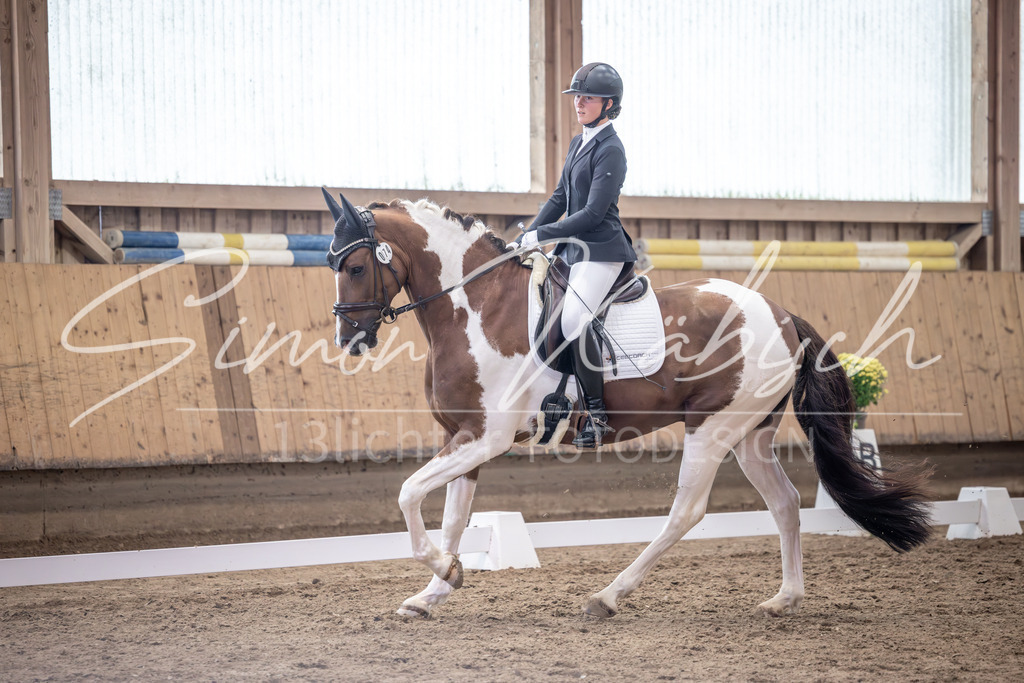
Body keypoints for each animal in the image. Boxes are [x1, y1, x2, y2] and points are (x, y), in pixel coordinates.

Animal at [321, 189, 931, 619]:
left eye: (356, 267)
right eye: (334, 266)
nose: (350, 339)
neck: (477, 308)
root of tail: (781, 314)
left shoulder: (486, 437)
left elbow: (408, 493)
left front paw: (443, 574)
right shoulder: (462, 436)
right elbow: (450, 518)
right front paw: (436, 587)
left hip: (712, 428)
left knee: (688, 511)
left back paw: (609, 596)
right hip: (750, 434)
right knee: (783, 502)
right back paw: (784, 599)